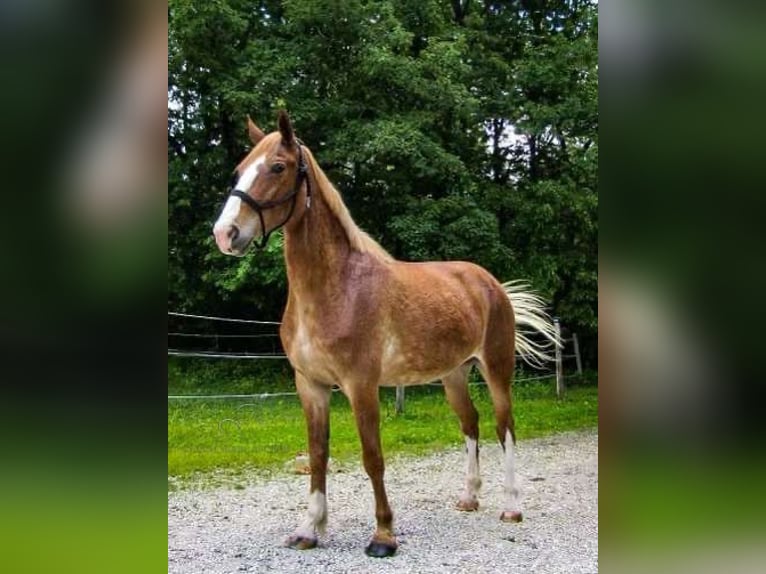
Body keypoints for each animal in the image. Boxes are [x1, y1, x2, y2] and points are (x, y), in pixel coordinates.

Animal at [213, 111, 560, 560]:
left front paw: (383, 535)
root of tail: (490, 283)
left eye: (278, 167)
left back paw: (512, 506)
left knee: (505, 427)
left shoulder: (361, 385)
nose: (226, 233)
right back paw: (469, 497)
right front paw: (309, 529)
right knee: (471, 423)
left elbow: (372, 456)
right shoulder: (311, 385)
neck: (336, 287)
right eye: (239, 170)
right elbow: (318, 456)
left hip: (497, 370)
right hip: (454, 375)